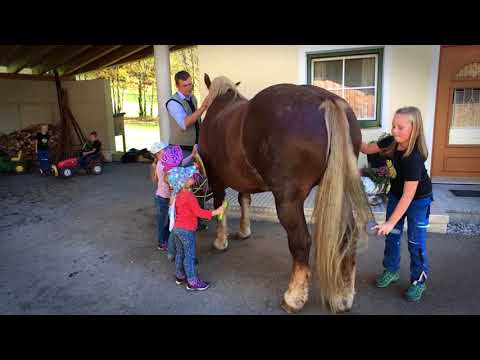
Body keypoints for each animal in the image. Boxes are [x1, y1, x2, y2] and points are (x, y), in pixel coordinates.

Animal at [197, 74, 370, 312]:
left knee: (301, 241)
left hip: (288, 201)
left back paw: (293, 298)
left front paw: (220, 241)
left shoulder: (216, 178)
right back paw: (344, 296)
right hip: (339, 192)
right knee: (347, 235)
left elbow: (220, 206)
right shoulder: (242, 181)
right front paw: (244, 230)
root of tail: (326, 99)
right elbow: (244, 200)